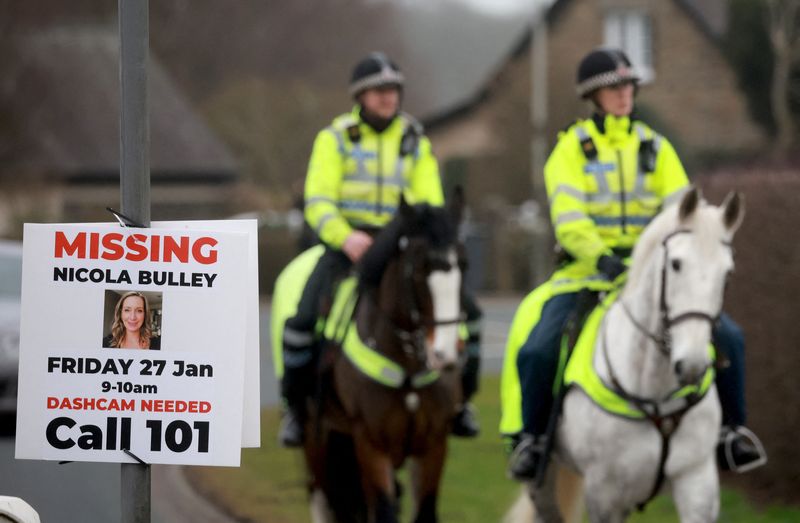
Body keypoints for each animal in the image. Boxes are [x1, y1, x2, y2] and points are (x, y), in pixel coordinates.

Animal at [304, 198, 466, 523]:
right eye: (419, 269)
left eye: (462, 265)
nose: (443, 355)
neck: (408, 368)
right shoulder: (371, 444)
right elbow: (383, 510)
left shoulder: (434, 445)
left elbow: (424, 512)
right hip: (320, 443)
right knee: (325, 501)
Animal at [520, 189, 744, 523]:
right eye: (676, 264)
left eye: (728, 273)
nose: (691, 365)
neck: (654, 393)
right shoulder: (604, 494)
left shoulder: (696, 483)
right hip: (544, 479)